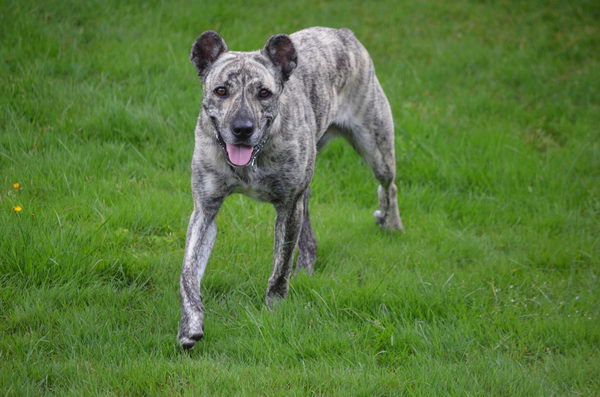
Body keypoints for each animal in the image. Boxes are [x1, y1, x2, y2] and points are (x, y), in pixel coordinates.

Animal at [178, 26, 404, 348]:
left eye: (264, 93)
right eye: (221, 90)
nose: (242, 128)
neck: (252, 159)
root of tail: (342, 33)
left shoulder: (287, 208)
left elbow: (280, 267)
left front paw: (273, 309)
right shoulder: (205, 210)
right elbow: (188, 274)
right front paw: (191, 325)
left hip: (375, 145)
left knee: (388, 186)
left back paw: (390, 222)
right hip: (307, 186)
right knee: (309, 236)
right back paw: (307, 268)